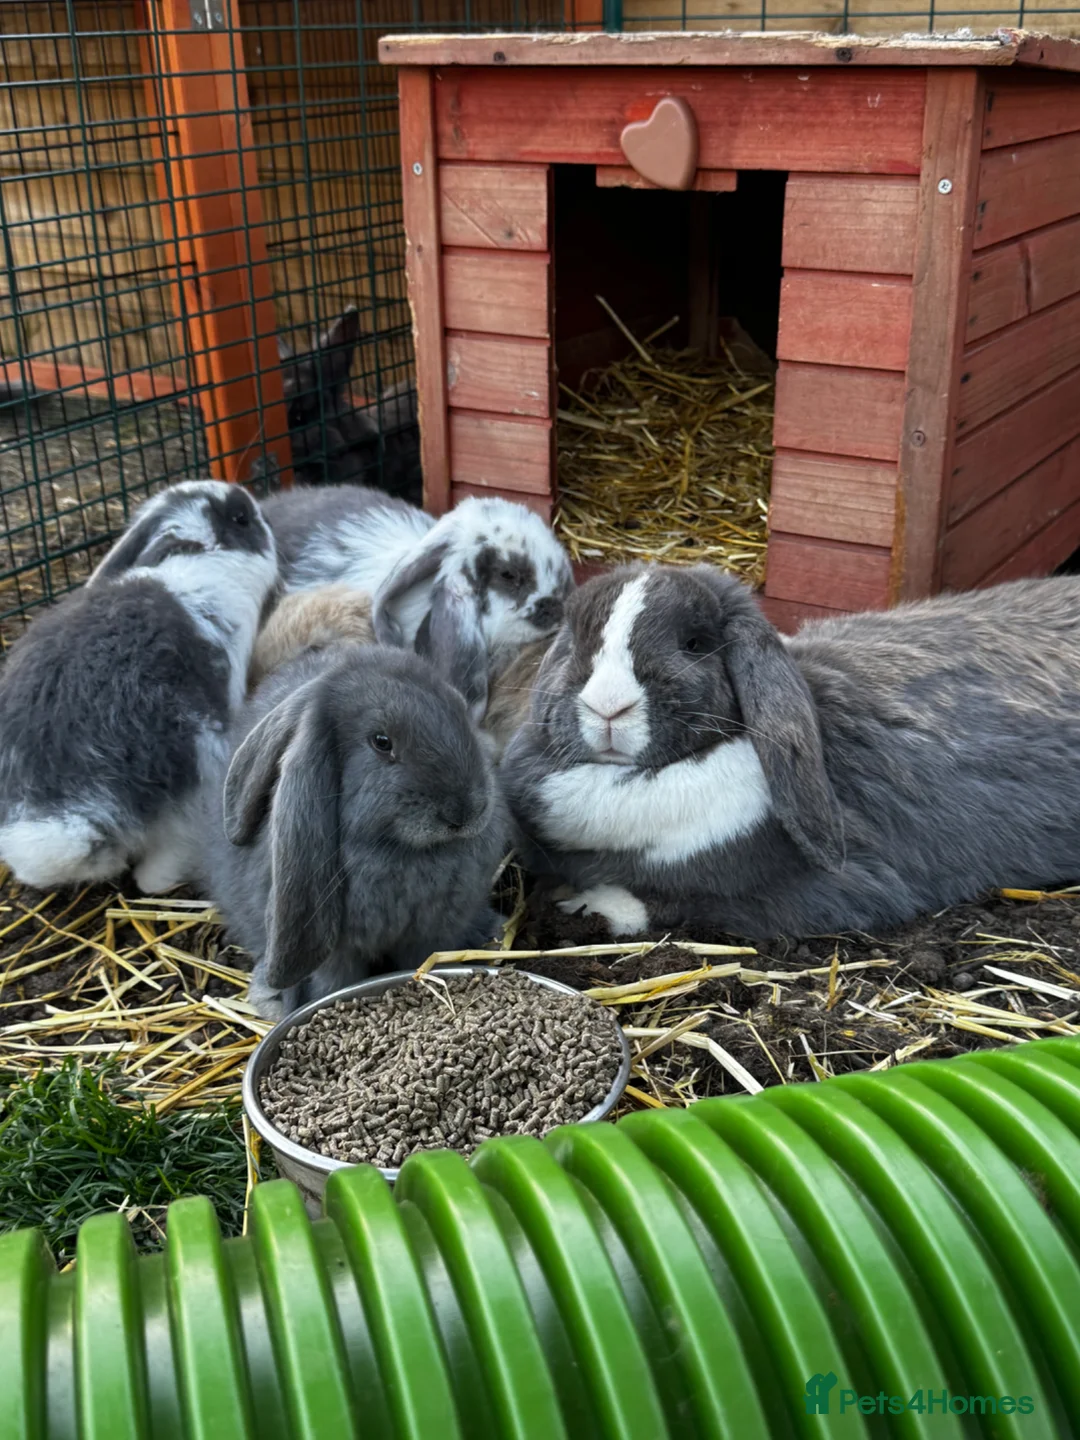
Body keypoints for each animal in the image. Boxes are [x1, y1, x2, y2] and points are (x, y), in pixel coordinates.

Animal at [198, 642, 509, 1020]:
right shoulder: (337, 954)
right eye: (381, 741)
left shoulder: (431, 935)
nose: (465, 812)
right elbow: (335, 982)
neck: (401, 850)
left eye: (461, 710)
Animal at [500, 563, 1080, 942]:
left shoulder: (790, 895)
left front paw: (583, 903)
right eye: (575, 641)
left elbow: (665, 902)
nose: (607, 707)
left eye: (695, 643)